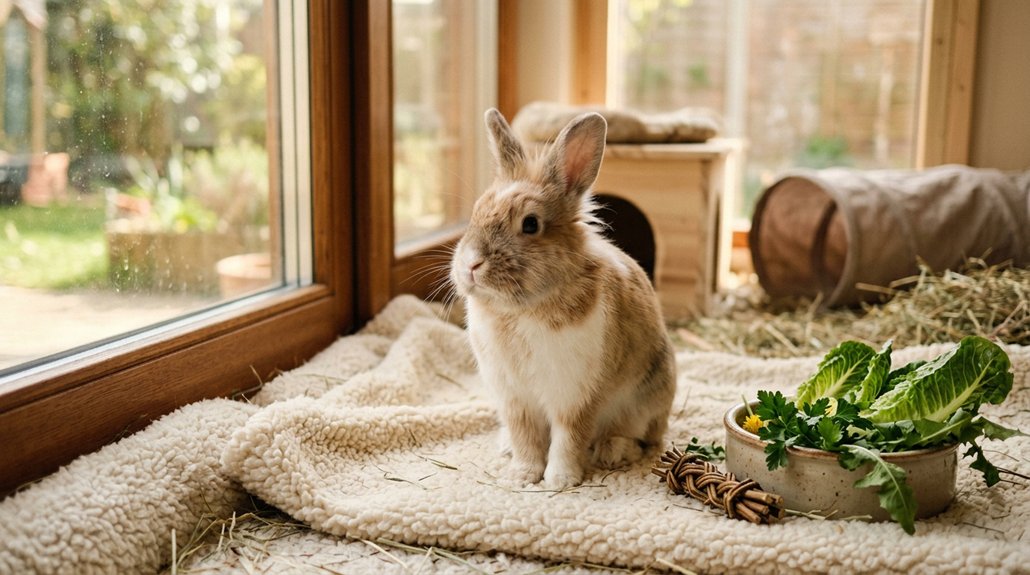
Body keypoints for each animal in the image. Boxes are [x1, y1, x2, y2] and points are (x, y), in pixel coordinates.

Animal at [449, 108, 676, 489]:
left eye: (530, 224)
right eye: (477, 211)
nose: (471, 264)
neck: (520, 308)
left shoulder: (575, 394)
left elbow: (569, 437)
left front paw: (560, 480)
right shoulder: (514, 399)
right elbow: (525, 437)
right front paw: (522, 475)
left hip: (647, 399)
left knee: (643, 438)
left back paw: (612, 452)